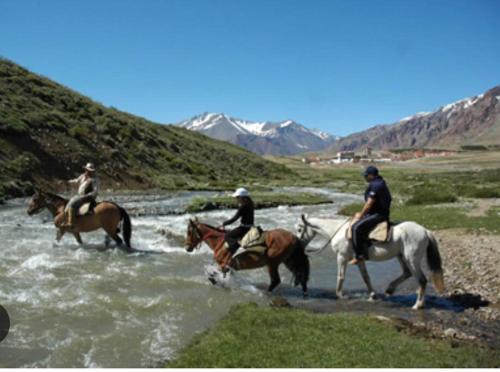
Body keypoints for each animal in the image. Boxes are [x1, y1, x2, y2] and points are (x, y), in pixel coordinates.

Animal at [294, 214, 444, 310]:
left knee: (422, 280)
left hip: (411, 259)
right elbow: (366, 277)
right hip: (401, 257)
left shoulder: (342, 257)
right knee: (407, 273)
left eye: (300, 229)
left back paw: (417, 305)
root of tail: (425, 231)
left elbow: (341, 276)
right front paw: (372, 295)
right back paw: (390, 290)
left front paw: (340, 295)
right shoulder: (359, 260)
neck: (338, 231)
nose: (298, 244)